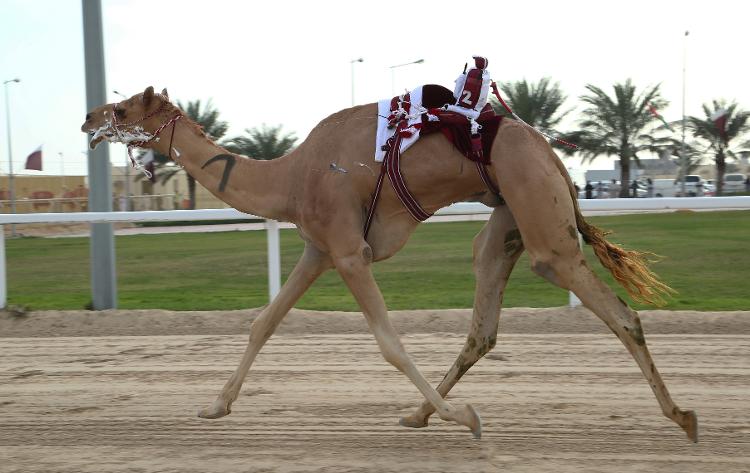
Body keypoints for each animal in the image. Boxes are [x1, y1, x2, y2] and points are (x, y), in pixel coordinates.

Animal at [81, 85, 700, 442]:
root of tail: (552, 153)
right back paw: (416, 414)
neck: (289, 178)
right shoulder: (319, 249)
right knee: (483, 323)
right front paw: (214, 406)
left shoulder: (348, 252)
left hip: (542, 222)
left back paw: (684, 418)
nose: (87, 118)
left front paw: (464, 419)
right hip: (508, 222)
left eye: (121, 108)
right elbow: (264, 322)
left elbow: (389, 343)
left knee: (620, 313)